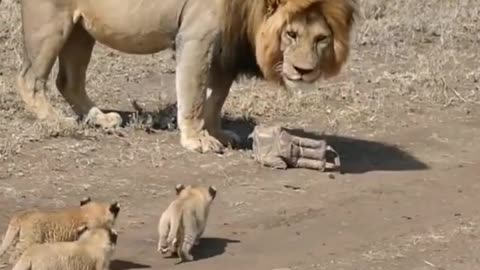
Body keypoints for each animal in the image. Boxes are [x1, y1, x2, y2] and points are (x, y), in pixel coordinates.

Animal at [14, 0, 356, 153]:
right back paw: (56, 121)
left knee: (68, 81)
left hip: (83, 29)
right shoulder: (195, 38)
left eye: (321, 39)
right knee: (30, 78)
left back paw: (99, 118)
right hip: (50, 23)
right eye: (291, 34)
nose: (304, 71)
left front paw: (217, 133)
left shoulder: (224, 49)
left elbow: (216, 98)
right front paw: (196, 139)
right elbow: (193, 96)